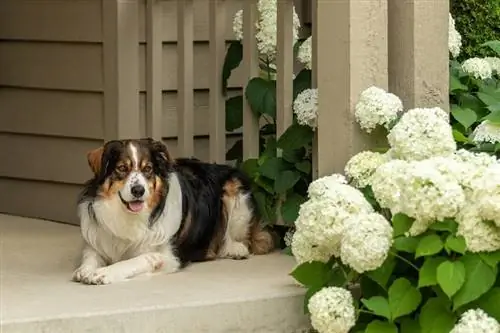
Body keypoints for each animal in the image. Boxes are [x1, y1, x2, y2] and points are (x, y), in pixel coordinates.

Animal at [72, 137, 274, 282]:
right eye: (122, 168)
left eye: (148, 169)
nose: (138, 190)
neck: (130, 216)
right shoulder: (97, 242)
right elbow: (89, 256)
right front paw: (85, 270)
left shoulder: (168, 257)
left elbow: (136, 260)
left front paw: (103, 273)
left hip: (236, 191)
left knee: (248, 240)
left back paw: (235, 249)